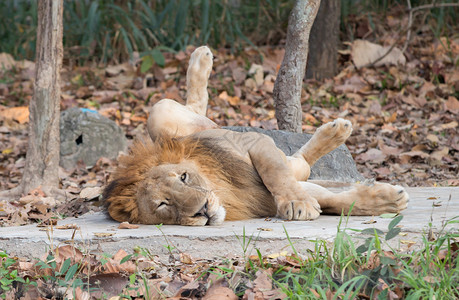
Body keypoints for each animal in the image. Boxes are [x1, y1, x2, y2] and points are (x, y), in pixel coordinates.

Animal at [103, 46, 410, 225]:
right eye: (163, 204)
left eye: (184, 177)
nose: (202, 210)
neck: (223, 190)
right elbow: (335, 200)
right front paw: (387, 200)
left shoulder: (255, 143)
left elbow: (277, 174)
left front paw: (297, 203)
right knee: (300, 165)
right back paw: (336, 133)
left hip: (162, 112)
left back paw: (201, 57)